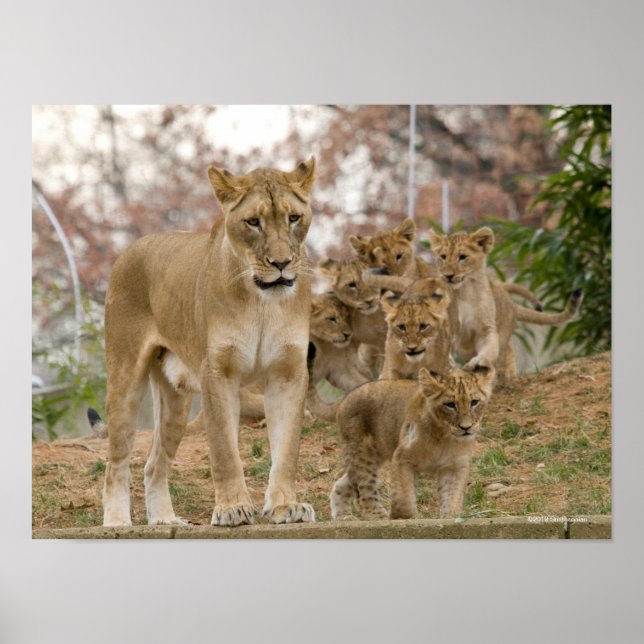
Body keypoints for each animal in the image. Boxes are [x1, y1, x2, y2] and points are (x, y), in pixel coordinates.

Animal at [99, 158, 317, 527]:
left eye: (293, 218)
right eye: (253, 222)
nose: (281, 263)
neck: (263, 301)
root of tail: (130, 248)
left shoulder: (288, 372)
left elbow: (287, 448)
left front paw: (286, 507)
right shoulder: (218, 371)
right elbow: (224, 450)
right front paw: (233, 509)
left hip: (175, 400)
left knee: (154, 465)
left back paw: (165, 521)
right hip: (125, 377)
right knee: (116, 462)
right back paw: (117, 523)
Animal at [330, 365, 494, 520]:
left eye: (474, 402)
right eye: (450, 404)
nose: (466, 427)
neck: (444, 439)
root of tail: (345, 400)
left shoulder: (454, 466)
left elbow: (452, 498)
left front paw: (450, 518)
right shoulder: (402, 459)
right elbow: (403, 498)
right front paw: (403, 519)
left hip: (373, 456)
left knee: (342, 484)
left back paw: (343, 516)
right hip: (362, 454)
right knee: (365, 496)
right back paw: (380, 518)